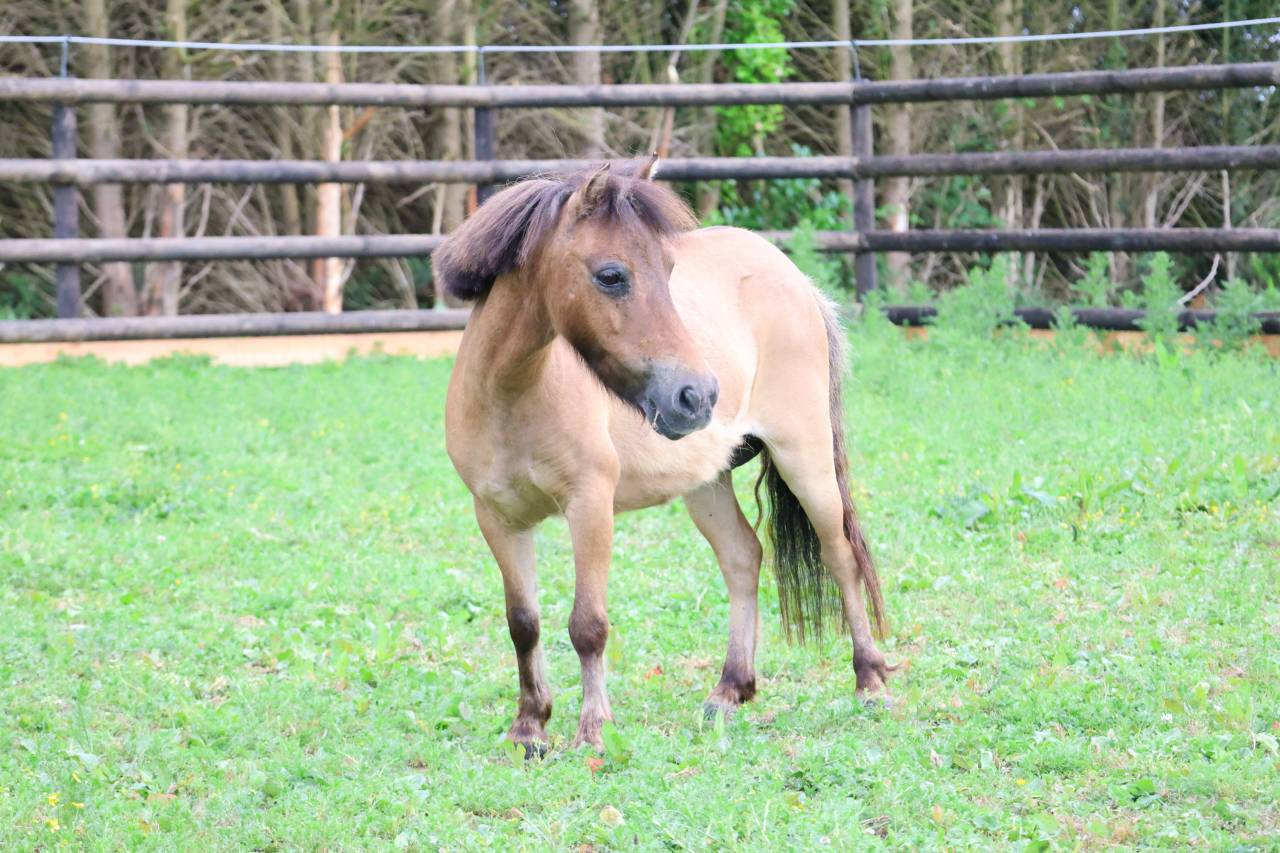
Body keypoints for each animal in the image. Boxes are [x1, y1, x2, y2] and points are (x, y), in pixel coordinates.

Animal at [434, 159, 893, 752]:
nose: (696, 395)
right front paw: (529, 727)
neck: (512, 395)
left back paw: (870, 682)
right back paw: (728, 691)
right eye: (611, 275)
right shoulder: (497, 518)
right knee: (742, 558)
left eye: (669, 269)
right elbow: (523, 623)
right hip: (707, 483)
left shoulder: (590, 506)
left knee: (840, 556)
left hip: (806, 458)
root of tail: (794, 277)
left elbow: (587, 624)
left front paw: (593, 731)